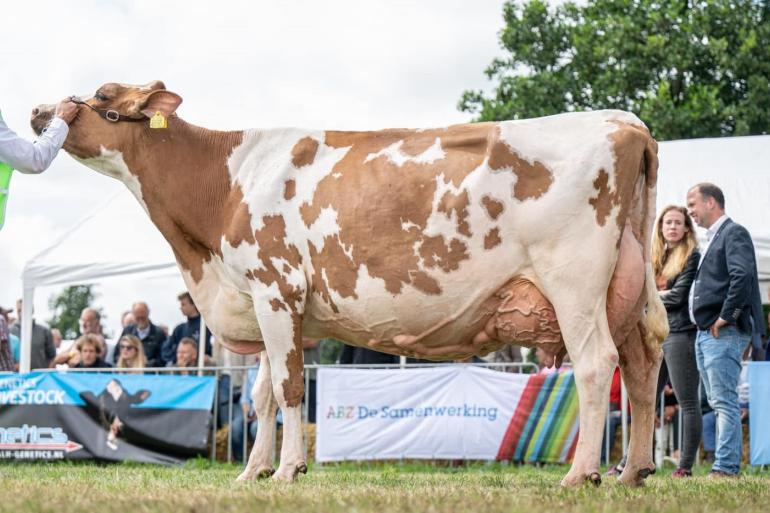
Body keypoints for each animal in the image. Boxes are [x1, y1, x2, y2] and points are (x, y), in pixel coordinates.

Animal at [33, 80, 664, 484]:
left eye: (101, 99)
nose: (41, 111)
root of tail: (626, 123)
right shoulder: (263, 302)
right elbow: (261, 395)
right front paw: (252, 471)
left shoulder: (276, 288)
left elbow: (288, 388)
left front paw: (288, 470)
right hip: (630, 294)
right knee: (641, 369)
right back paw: (632, 471)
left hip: (574, 282)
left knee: (595, 365)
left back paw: (581, 475)